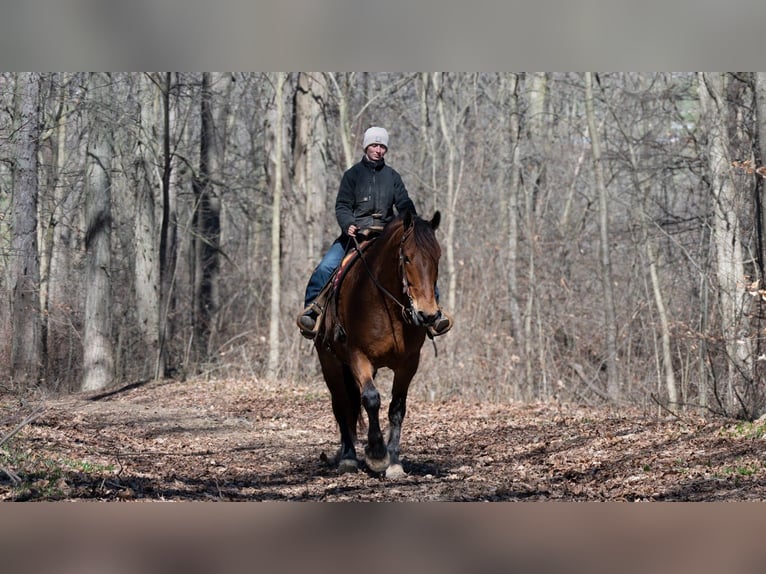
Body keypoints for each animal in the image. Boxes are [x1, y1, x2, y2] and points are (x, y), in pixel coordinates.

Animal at [314, 210, 444, 478]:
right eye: (407, 258)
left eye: (437, 257)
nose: (427, 314)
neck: (386, 306)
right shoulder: (357, 355)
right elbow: (372, 399)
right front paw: (376, 454)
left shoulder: (408, 363)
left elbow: (397, 408)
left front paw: (393, 461)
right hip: (331, 363)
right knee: (341, 403)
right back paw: (348, 457)